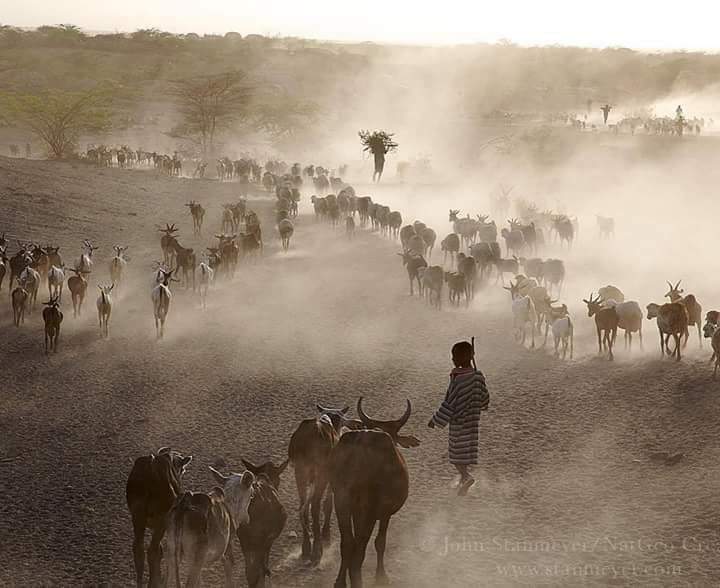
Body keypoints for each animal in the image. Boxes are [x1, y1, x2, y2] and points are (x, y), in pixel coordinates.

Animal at [126, 447, 193, 588]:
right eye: (183, 469)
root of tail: (151, 468)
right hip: (162, 519)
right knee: (152, 550)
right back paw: (152, 583)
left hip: (137, 516)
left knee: (139, 548)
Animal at [329, 398, 420, 588]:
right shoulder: (385, 513)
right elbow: (380, 542)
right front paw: (381, 576)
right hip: (368, 511)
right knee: (359, 549)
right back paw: (357, 581)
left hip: (341, 502)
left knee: (348, 543)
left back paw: (340, 582)